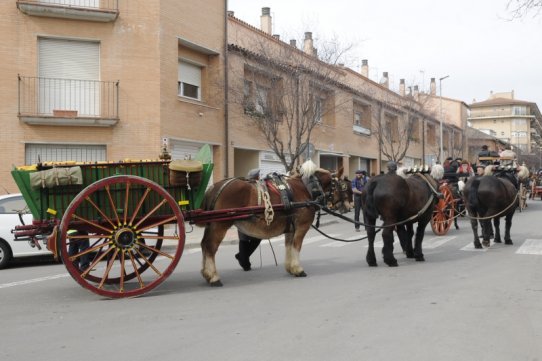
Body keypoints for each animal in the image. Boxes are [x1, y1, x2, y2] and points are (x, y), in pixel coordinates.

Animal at [199, 159, 348, 286]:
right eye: (343, 186)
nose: (349, 206)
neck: (306, 188)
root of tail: (214, 187)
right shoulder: (301, 227)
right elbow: (296, 246)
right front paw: (298, 269)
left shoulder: (291, 228)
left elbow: (289, 246)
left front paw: (290, 268)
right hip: (220, 225)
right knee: (210, 247)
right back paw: (214, 277)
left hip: (212, 225)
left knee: (204, 245)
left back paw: (206, 274)